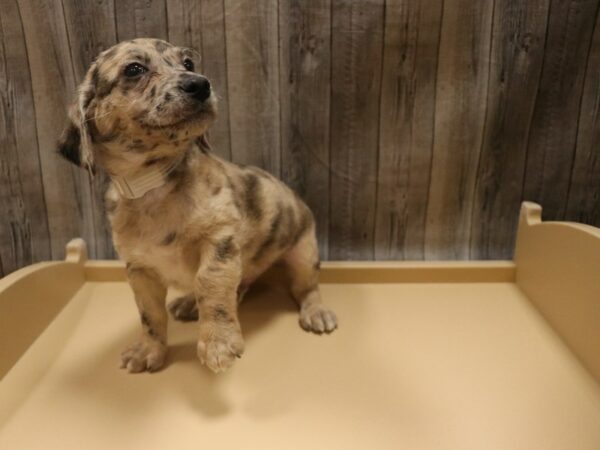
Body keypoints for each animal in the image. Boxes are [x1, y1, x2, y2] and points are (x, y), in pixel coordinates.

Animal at [57, 38, 338, 374]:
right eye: (134, 69)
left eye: (188, 63)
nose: (201, 84)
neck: (153, 185)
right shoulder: (139, 270)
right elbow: (150, 315)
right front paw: (149, 350)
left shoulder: (220, 242)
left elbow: (210, 285)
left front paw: (218, 343)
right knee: (241, 285)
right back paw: (189, 302)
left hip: (303, 254)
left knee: (306, 288)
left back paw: (316, 312)